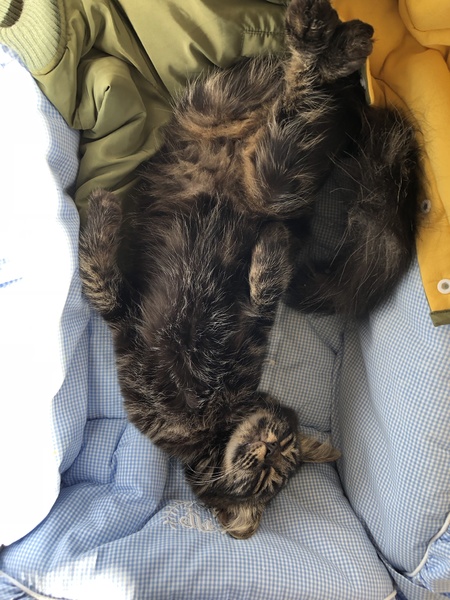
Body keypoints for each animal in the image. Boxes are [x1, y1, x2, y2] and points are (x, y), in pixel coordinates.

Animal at [79, 0, 421, 537]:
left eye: (274, 469)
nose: (268, 445)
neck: (214, 417)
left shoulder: (234, 341)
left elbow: (262, 292)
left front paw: (273, 252)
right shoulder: (129, 332)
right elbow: (97, 279)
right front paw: (100, 216)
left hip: (274, 174)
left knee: (299, 98)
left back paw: (331, 41)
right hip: (217, 104)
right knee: (297, 83)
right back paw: (335, 37)